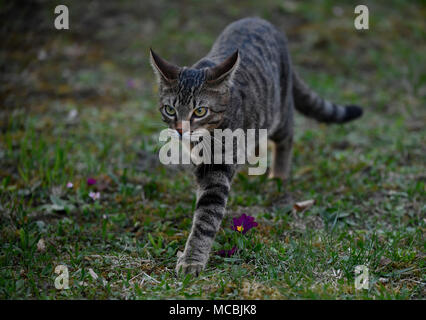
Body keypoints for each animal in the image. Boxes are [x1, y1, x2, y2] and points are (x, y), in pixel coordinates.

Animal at [150, 17, 362, 276]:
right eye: (170, 109)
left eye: (200, 111)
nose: (180, 130)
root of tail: (265, 22)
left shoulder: (217, 168)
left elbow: (206, 218)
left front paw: (192, 259)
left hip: (280, 112)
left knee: (286, 139)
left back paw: (277, 176)